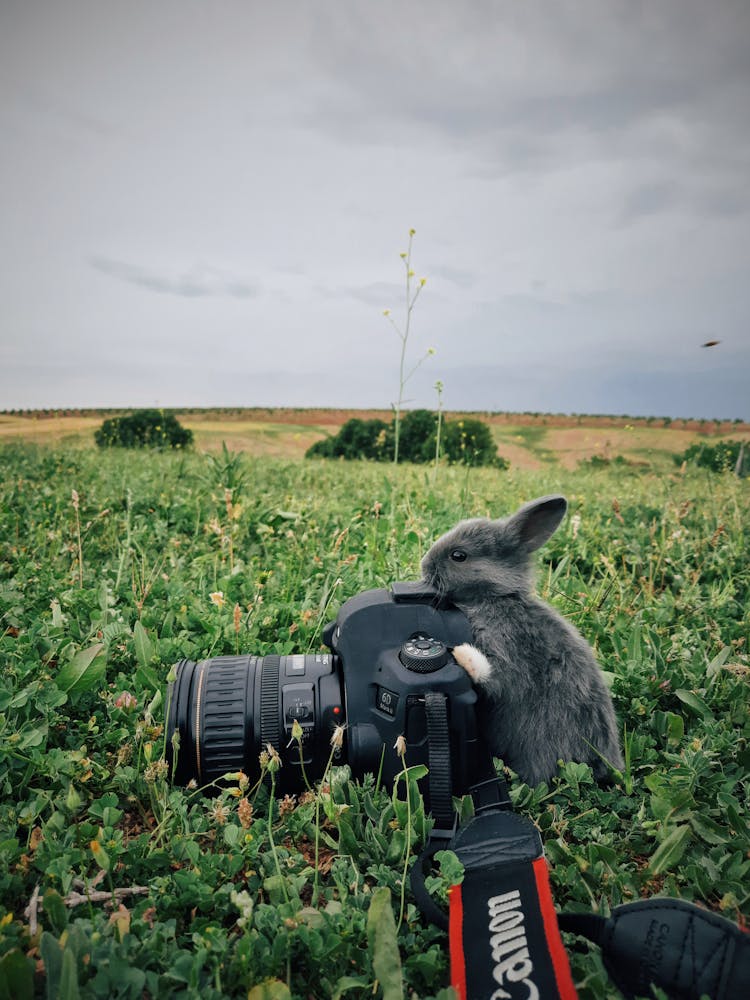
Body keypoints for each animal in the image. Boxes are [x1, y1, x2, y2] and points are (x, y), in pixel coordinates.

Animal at [424, 496, 624, 784]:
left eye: (458, 556)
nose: (424, 565)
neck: (494, 598)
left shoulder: (507, 647)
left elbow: (492, 674)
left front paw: (462, 653)